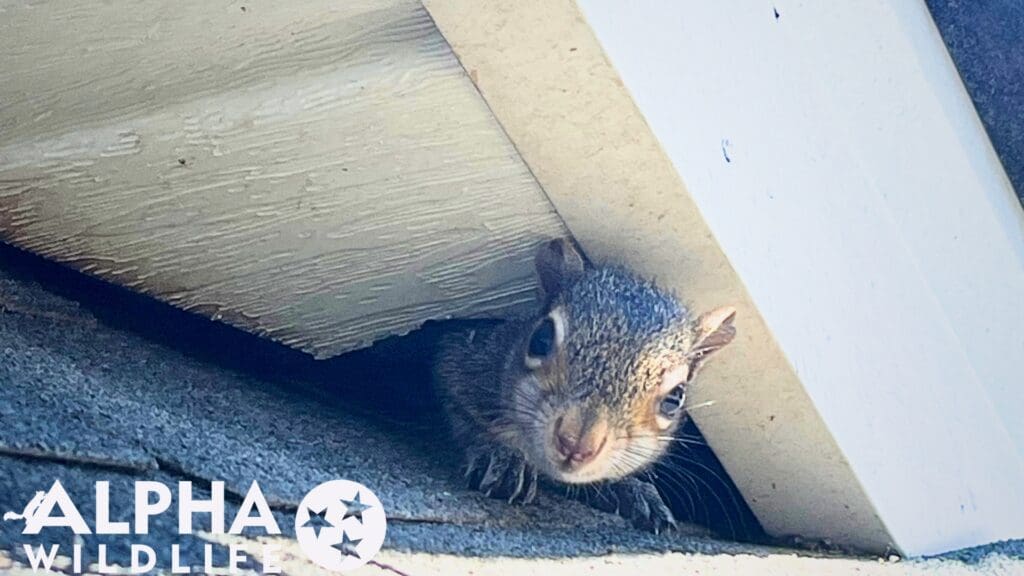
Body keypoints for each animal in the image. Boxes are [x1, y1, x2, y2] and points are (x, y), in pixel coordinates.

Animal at [434, 238, 737, 532]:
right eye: (540, 338)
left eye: (675, 397)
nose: (576, 443)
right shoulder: (460, 359)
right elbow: (461, 413)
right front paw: (502, 454)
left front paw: (632, 489)